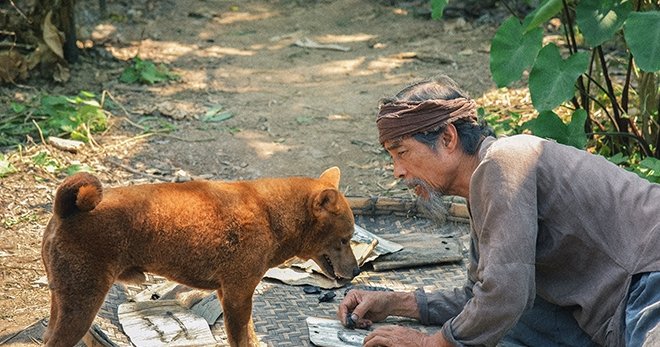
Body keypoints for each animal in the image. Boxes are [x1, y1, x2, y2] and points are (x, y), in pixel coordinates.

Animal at [41, 167, 360, 346]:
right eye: (345, 240)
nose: (357, 272)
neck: (270, 214)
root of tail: (65, 209)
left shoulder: (232, 294)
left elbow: (251, 336)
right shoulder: (237, 295)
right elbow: (241, 339)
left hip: (63, 301)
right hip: (82, 304)